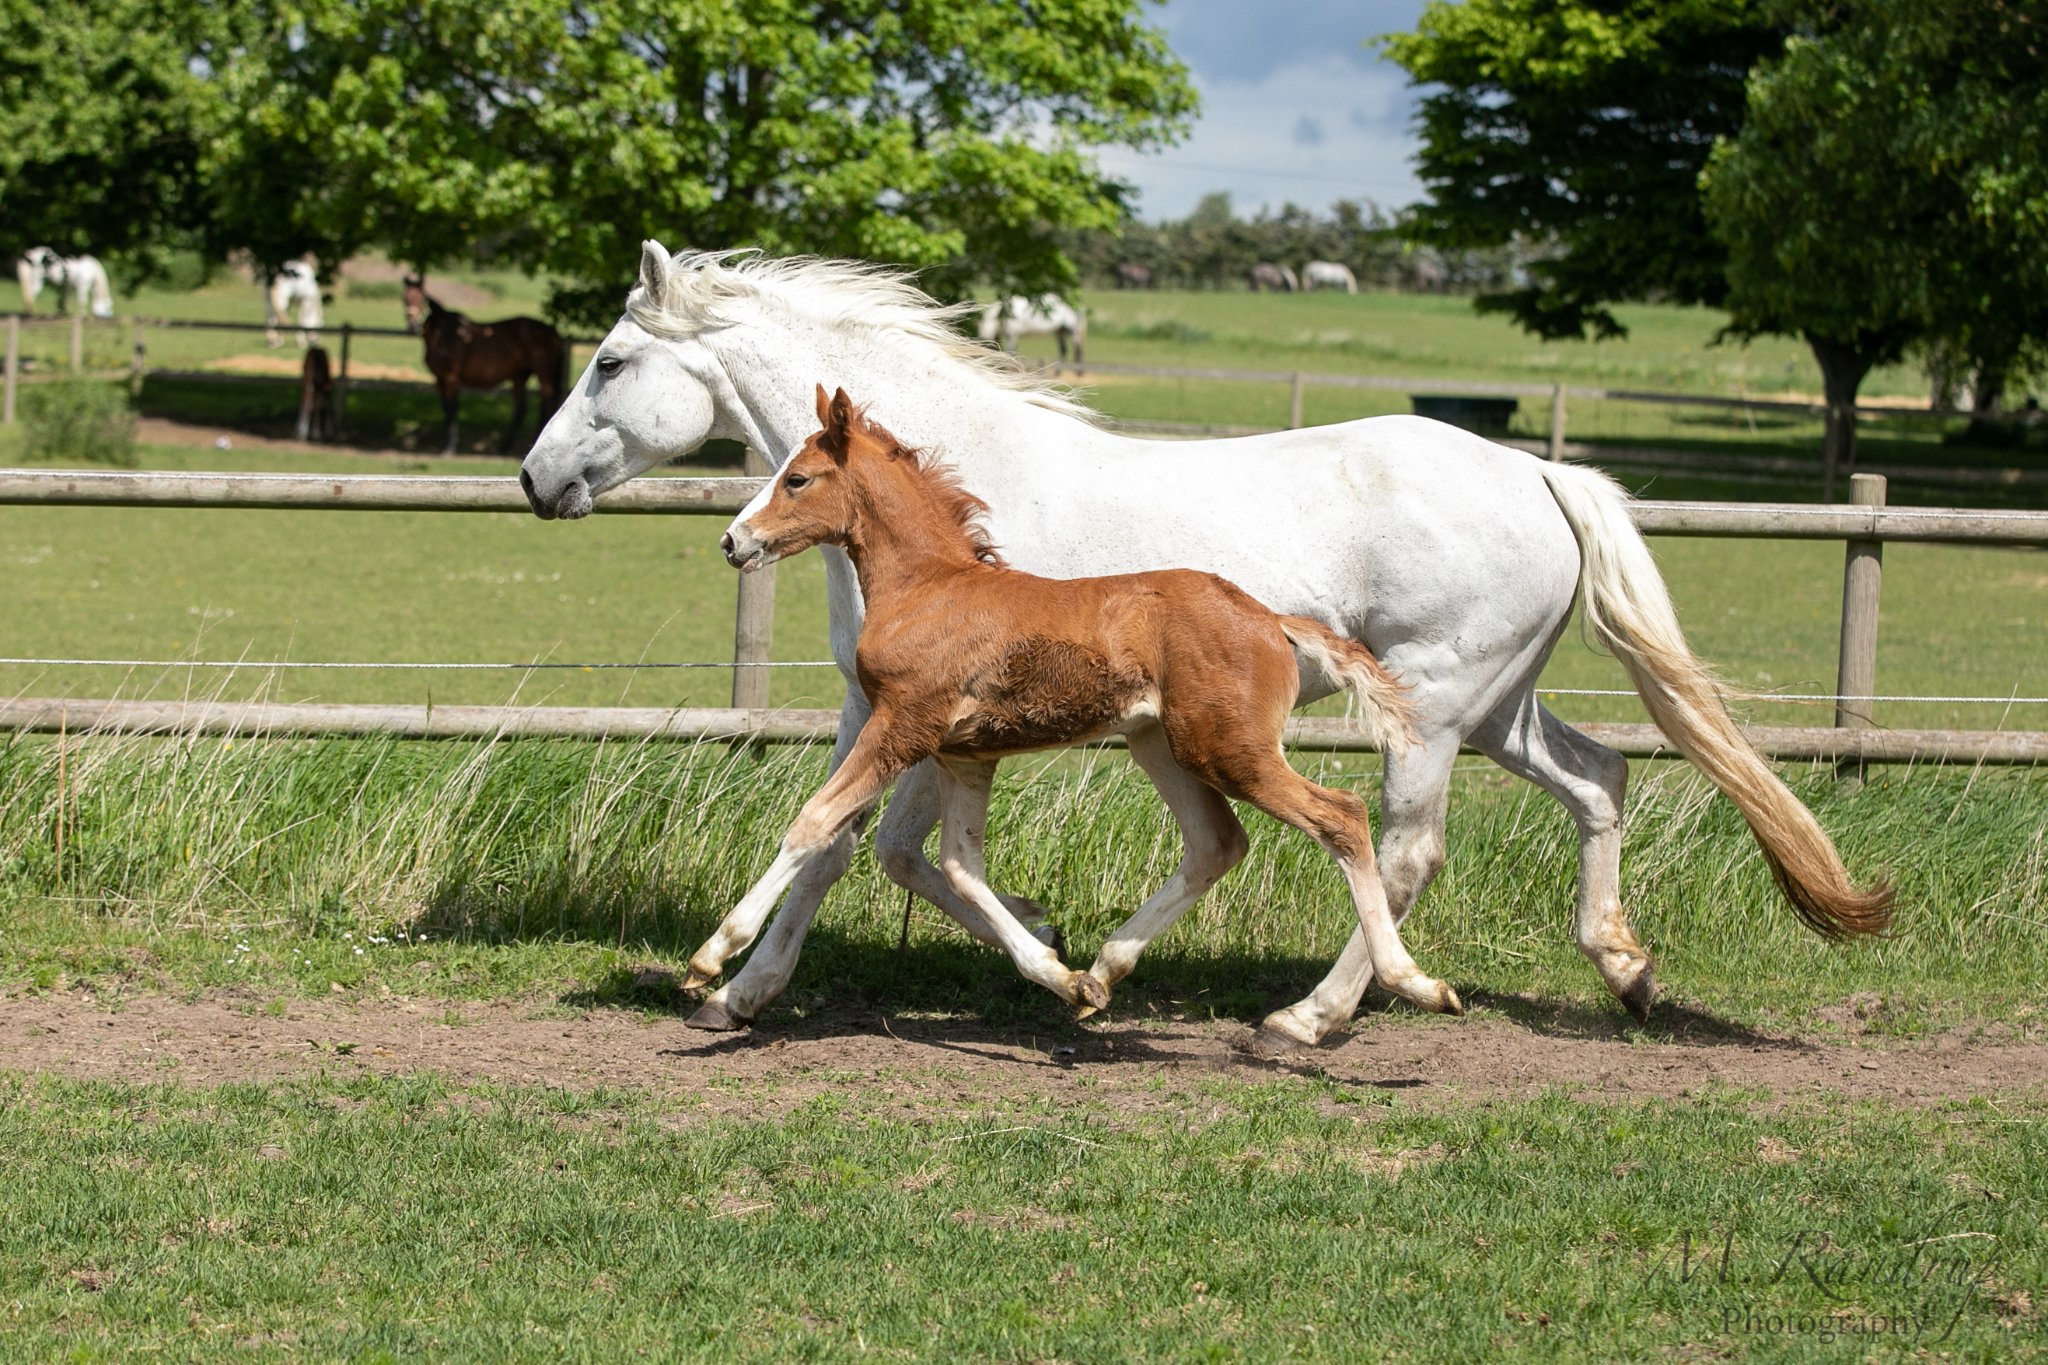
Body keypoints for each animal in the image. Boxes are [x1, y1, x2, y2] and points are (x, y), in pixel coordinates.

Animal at [401, 274, 569, 454]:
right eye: (405, 298)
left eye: (421, 299)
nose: (413, 326)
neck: (443, 335)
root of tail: (553, 333)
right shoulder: (439, 379)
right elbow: (446, 411)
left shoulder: (451, 377)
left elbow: (452, 410)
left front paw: (451, 447)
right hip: (520, 376)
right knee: (521, 408)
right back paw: (505, 446)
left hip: (544, 374)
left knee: (547, 405)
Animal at [696, 388, 1466, 1019]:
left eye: (797, 479)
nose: (732, 541)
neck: (930, 588)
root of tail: (1270, 618)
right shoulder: (964, 756)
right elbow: (962, 868)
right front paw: (1060, 973)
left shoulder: (902, 726)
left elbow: (813, 823)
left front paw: (714, 956)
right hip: (1161, 743)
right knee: (1218, 841)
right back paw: (1106, 969)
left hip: (1230, 749)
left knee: (1344, 816)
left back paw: (1401, 988)